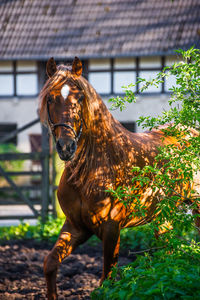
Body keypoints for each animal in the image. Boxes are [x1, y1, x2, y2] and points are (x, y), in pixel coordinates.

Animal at [38, 57, 198, 298]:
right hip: (164, 218)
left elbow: (107, 280)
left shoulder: (111, 229)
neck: (92, 171)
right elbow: (50, 264)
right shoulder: (76, 226)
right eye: (50, 98)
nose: (66, 147)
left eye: (81, 98)